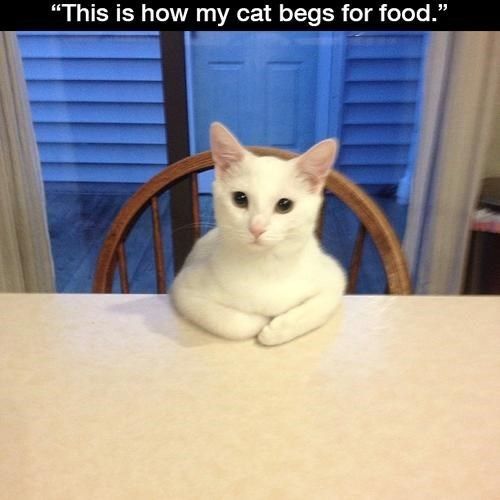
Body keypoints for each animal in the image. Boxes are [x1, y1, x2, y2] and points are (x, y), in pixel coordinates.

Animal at [170, 123, 346, 346]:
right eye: (240, 198)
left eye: (285, 205)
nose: (256, 228)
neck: (264, 265)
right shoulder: (184, 289)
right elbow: (235, 324)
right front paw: (261, 320)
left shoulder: (333, 277)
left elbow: (318, 308)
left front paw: (276, 329)